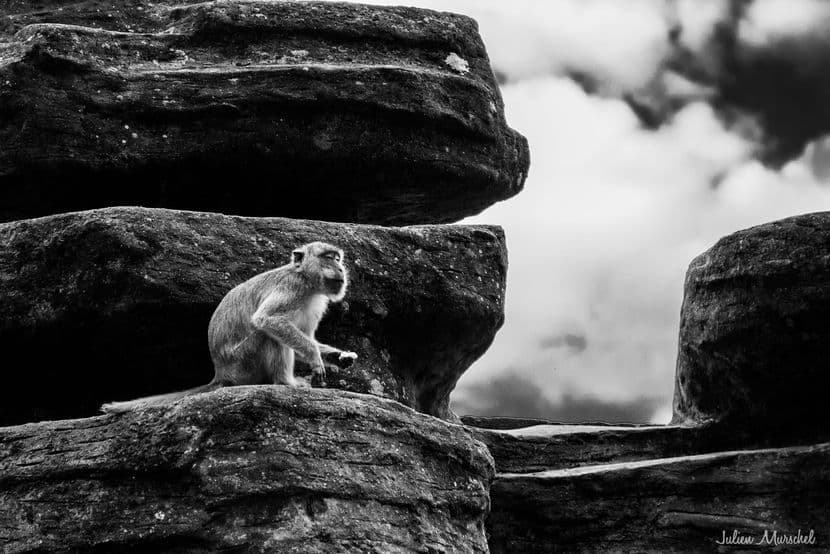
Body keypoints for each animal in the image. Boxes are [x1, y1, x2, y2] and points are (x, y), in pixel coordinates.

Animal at [100, 241, 357, 413]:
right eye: (328, 257)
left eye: (337, 258)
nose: (340, 268)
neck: (307, 280)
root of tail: (221, 373)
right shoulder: (292, 289)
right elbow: (268, 320)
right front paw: (315, 357)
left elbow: (303, 335)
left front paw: (339, 356)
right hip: (243, 362)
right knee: (266, 334)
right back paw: (286, 382)